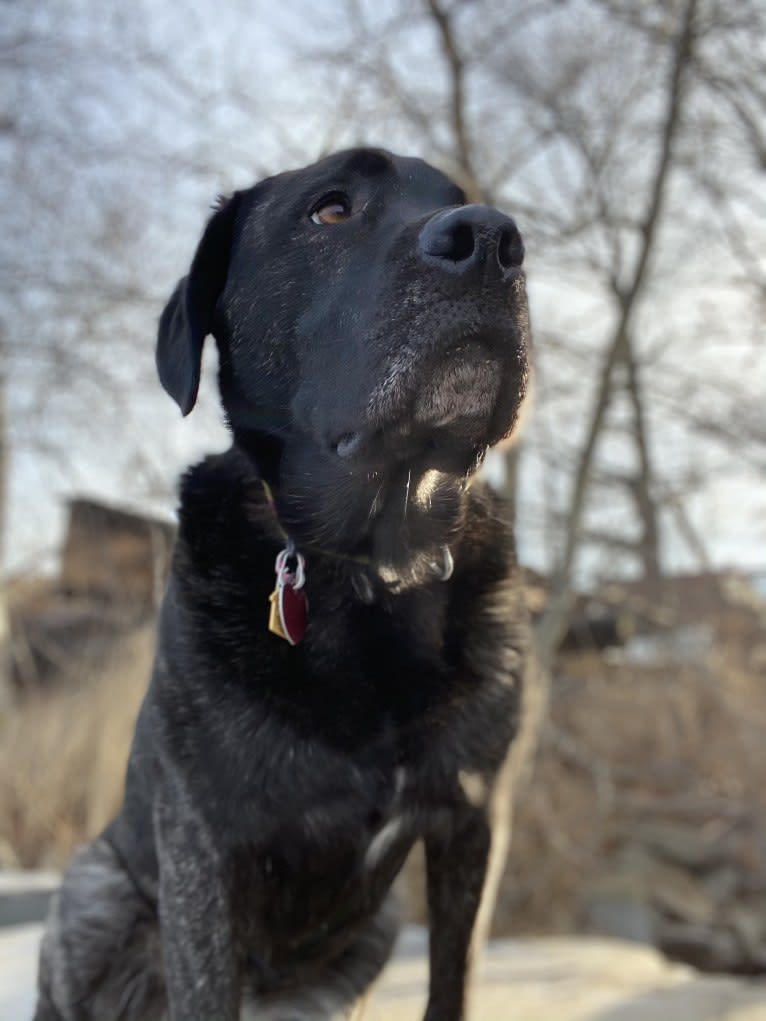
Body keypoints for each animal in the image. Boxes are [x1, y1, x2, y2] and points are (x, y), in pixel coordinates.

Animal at [36, 148, 535, 1016]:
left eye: (463, 199)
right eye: (329, 209)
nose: (493, 240)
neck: (371, 573)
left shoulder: (472, 822)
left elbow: (453, 984)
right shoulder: (204, 845)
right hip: (91, 889)